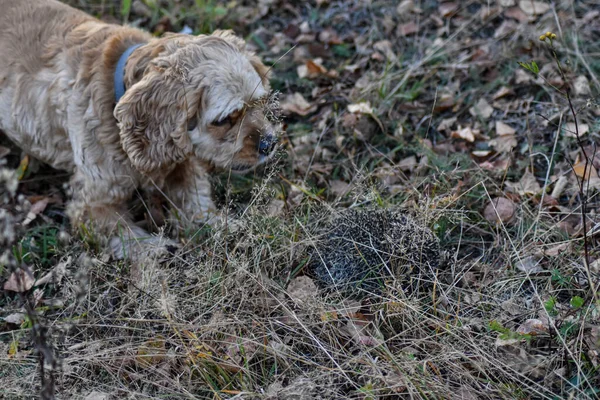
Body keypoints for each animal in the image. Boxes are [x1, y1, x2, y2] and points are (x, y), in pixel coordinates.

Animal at [0, 0, 278, 258]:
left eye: (259, 102)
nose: (270, 143)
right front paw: (156, 248)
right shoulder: (91, 201)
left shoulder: (180, 158)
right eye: (224, 119)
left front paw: (218, 224)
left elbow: (194, 195)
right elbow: (121, 231)